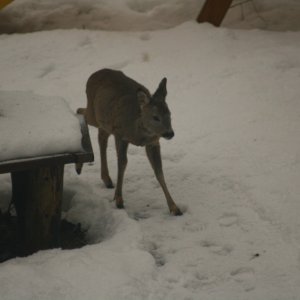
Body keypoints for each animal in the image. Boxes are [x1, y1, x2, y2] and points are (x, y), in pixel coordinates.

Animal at [76, 69, 182, 216]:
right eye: (155, 117)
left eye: (169, 114)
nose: (169, 133)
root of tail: (94, 74)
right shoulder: (120, 135)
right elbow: (122, 164)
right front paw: (118, 200)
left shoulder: (153, 142)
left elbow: (159, 171)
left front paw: (174, 207)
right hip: (94, 113)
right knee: (80, 111)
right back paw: (79, 166)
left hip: (104, 121)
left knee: (101, 136)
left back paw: (107, 179)